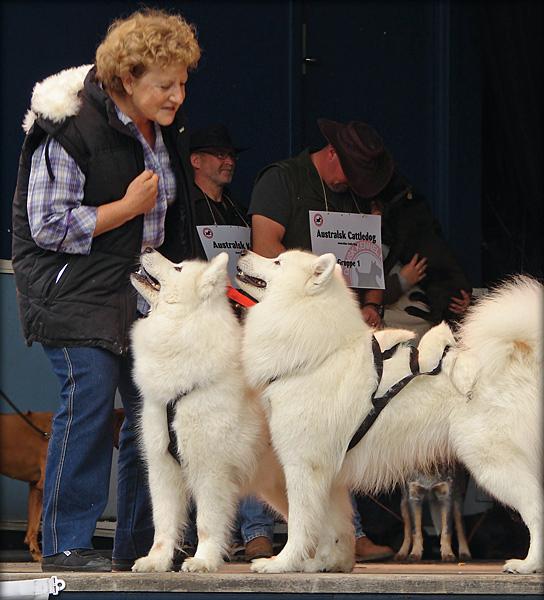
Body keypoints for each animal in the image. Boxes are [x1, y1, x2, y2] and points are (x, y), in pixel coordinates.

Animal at [130, 248, 286, 572]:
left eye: (177, 268)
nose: (148, 247)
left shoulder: (211, 468)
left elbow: (206, 522)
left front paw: (202, 561)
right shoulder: (162, 466)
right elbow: (163, 523)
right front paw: (156, 561)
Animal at [236, 246, 540, 576]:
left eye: (277, 262)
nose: (243, 249)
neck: (317, 354)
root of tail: (519, 359)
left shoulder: (303, 465)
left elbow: (301, 523)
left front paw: (283, 563)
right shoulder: (327, 475)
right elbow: (330, 525)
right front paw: (324, 563)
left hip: (493, 463)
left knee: (535, 509)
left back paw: (528, 564)